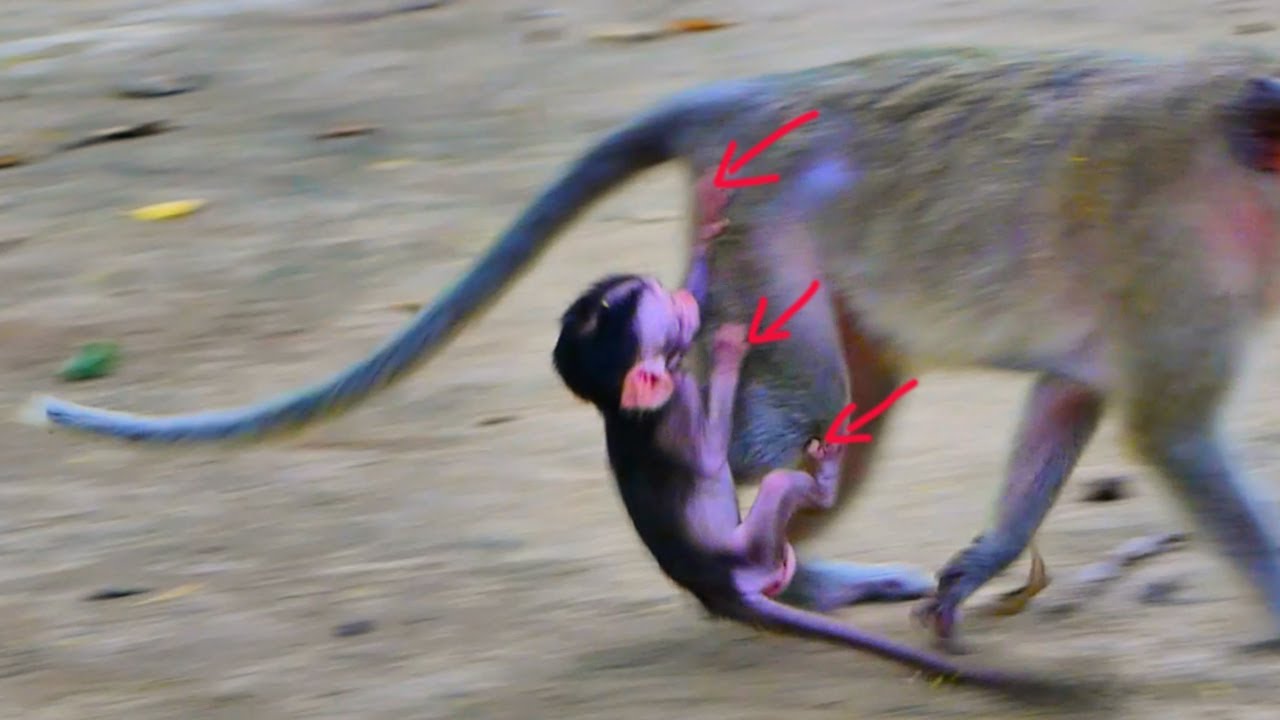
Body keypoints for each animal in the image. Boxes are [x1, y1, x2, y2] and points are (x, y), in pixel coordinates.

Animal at [20, 45, 1280, 655]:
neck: (1233, 161)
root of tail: (762, 97)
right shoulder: (1174, 277)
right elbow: (1168, 431)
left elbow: (1070, 395)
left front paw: (983, 560)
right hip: (762, 240)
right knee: (803, 408)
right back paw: (769, 550)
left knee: (842, 398)